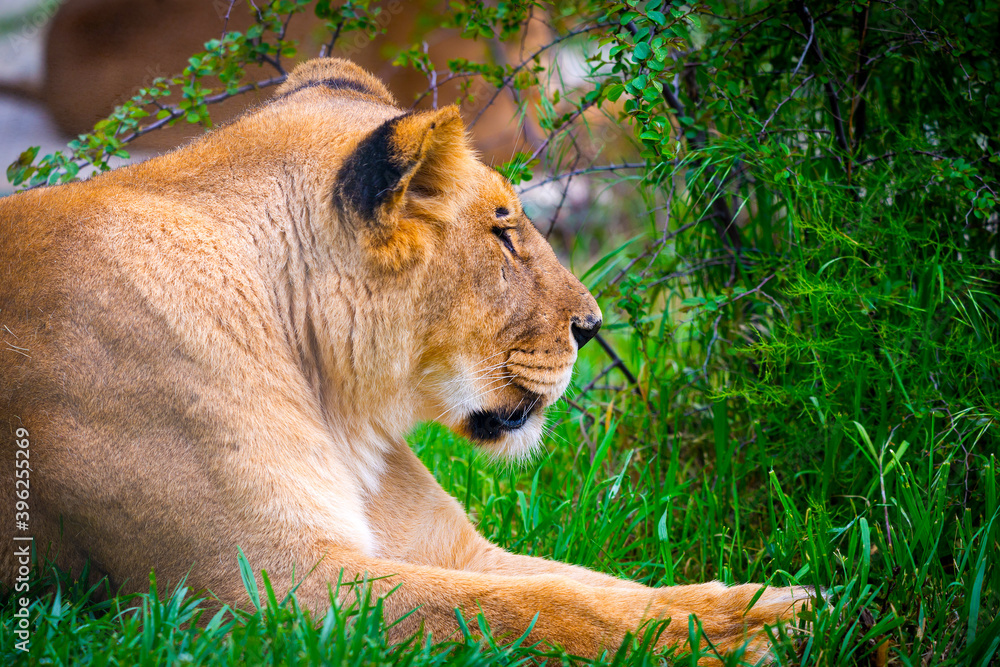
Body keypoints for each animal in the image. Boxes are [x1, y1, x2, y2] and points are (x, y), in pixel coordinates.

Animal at [0, 59, 810, 662]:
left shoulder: (450, 547)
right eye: (502, 231)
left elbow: (593, 585)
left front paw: (780, 602)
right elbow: (537, 607)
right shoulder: (258, 593)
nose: (590, 325)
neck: (337, 401)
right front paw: (746, 634)